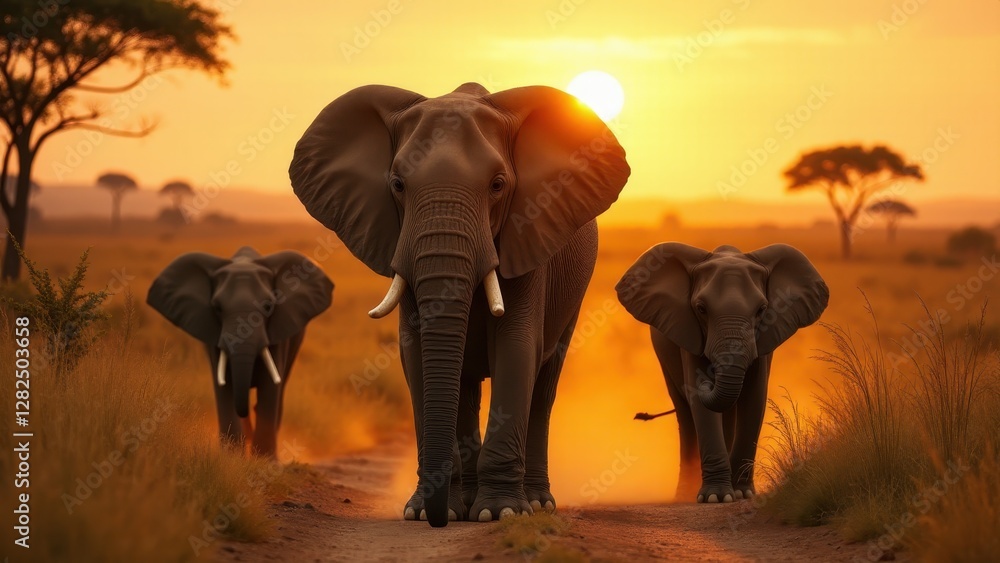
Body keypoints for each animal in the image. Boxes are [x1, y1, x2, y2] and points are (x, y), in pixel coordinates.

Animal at [146, 246, 333, 458]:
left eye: (268, 306)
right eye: (217, 308)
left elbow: (269, 385)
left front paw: (264, 460)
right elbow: (224, 385)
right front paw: (232, 458)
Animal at [289, 82, 630, 526]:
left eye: (498, 185)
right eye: (397, 184)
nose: (436, 519)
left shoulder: (529, 233)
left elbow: (517, 347)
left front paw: (501, 513)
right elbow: (415, 352)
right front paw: (424, 513)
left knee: (544, 383)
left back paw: (536, 504)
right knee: (466, 386)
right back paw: (466, 505)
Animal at [615, 243, 828, 503]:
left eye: (762, 310)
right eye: (701, 309)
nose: (641, 415)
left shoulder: (763, 339)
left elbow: (754, 398)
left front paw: (742, 494)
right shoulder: (688, 332)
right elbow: (701, 405)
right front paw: (716, 498)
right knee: (685, 414)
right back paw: (684, 495)